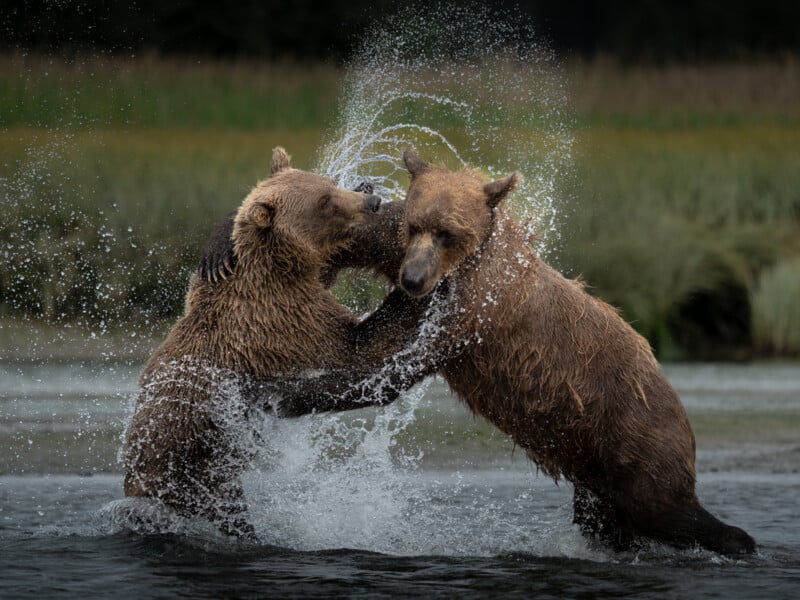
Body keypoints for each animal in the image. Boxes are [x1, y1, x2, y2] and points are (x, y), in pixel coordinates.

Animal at [123, 147, 429, 538]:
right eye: (324, 201)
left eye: (328, 184)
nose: (372, 200)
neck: (278, 269)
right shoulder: (281, 321)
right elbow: (356, 350)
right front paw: (408, 299)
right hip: (191, 466)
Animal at [383, 148, 756, 555]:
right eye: (414, 226)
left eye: (447, 233)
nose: (412, 279)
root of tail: (682, 413)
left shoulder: (480, 308)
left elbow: (422, 349)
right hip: (596, 467)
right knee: (608, 520)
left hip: (637, 432)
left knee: (665, 508)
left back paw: (738, 538)